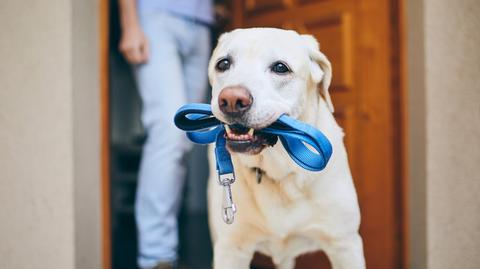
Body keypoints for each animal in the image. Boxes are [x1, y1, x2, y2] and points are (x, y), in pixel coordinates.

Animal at [206, 27, 364, 268]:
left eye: (280, 68)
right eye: (223, 64)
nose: (231, 99)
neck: (280, 172)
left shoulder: (345, 245)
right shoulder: (230, 249)